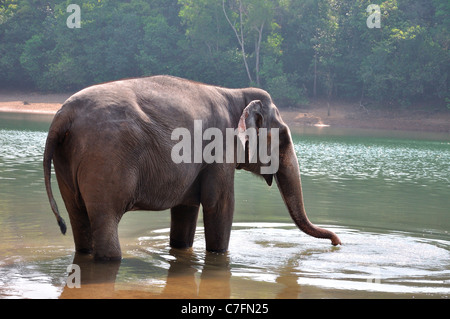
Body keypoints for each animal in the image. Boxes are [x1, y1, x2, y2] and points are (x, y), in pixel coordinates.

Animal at [44, 75, 342, 262]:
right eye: (284, 138)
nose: (337, 243)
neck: (235, 94)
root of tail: (62, 116)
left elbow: (186, 209)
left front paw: (180, 249)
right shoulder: (220, 146)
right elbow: (220, 205)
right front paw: (219, 256)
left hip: (67, 163)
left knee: (78, 220)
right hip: (107, 159)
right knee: (105, 221)